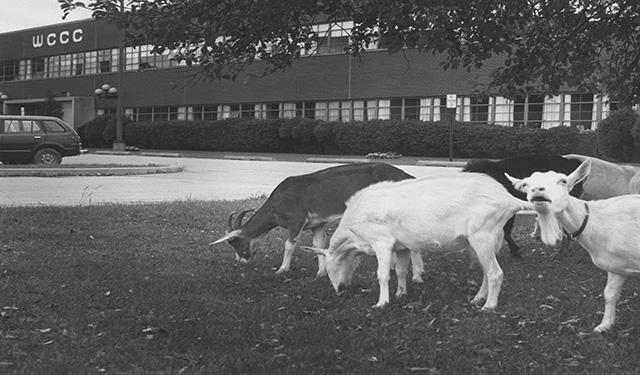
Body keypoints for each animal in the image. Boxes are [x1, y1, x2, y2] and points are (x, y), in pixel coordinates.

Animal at [210, 162, 420, 280]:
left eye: (235, 242)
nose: (240, 261)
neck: (276, 204)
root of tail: (408, 176)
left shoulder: (296, 219)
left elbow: (289, 245)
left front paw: (282, 270)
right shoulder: (317, 224)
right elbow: (318, 244)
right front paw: (321, 273)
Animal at [304, 172, 528, 310]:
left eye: (330, 267)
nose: (340, 290)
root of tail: (509, 199)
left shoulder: (382, 243)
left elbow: (382, 274)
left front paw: (381, 303)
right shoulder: (402, 246)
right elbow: (401, 270)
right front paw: (401, 293)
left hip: (483, 236)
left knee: (495, 273)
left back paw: (488, 306)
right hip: (486, 241)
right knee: (486, 272)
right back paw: (477, 298)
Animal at [508, 160, 640, 334]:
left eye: (563, 181)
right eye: (526, 184)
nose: (537, 190)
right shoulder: (616, 265)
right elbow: (609, 294)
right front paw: (604, 325)